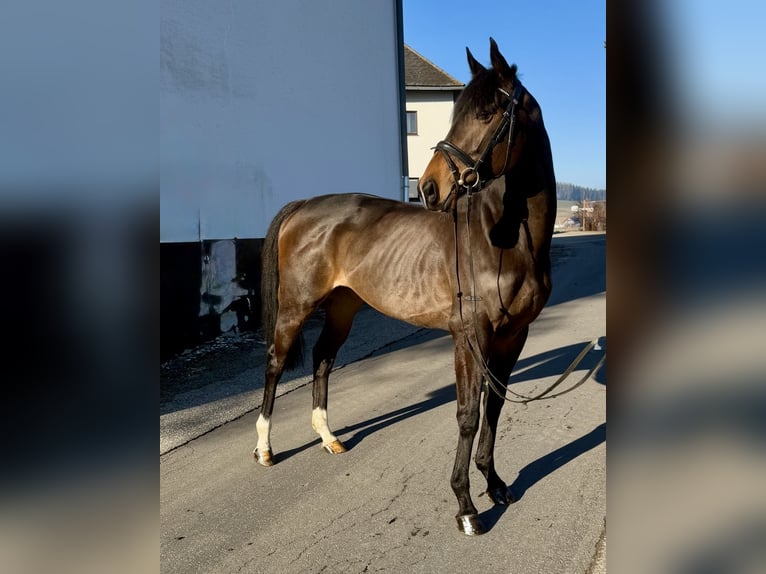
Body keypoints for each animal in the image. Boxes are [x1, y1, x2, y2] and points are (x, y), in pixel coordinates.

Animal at [253, 38, 556, 535]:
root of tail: (303, 205)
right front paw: (466, 506)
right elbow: (468, 414)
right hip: (295, 306)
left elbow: (494, 407)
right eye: (457, 113)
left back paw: (329, 438)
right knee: (277, 363)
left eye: (486, 113)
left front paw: (495, 484)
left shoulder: (514, 335)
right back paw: (264, 449)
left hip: (342, 307)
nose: (431, 188)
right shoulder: (470, 335)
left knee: (322, 359)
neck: (506, 238)